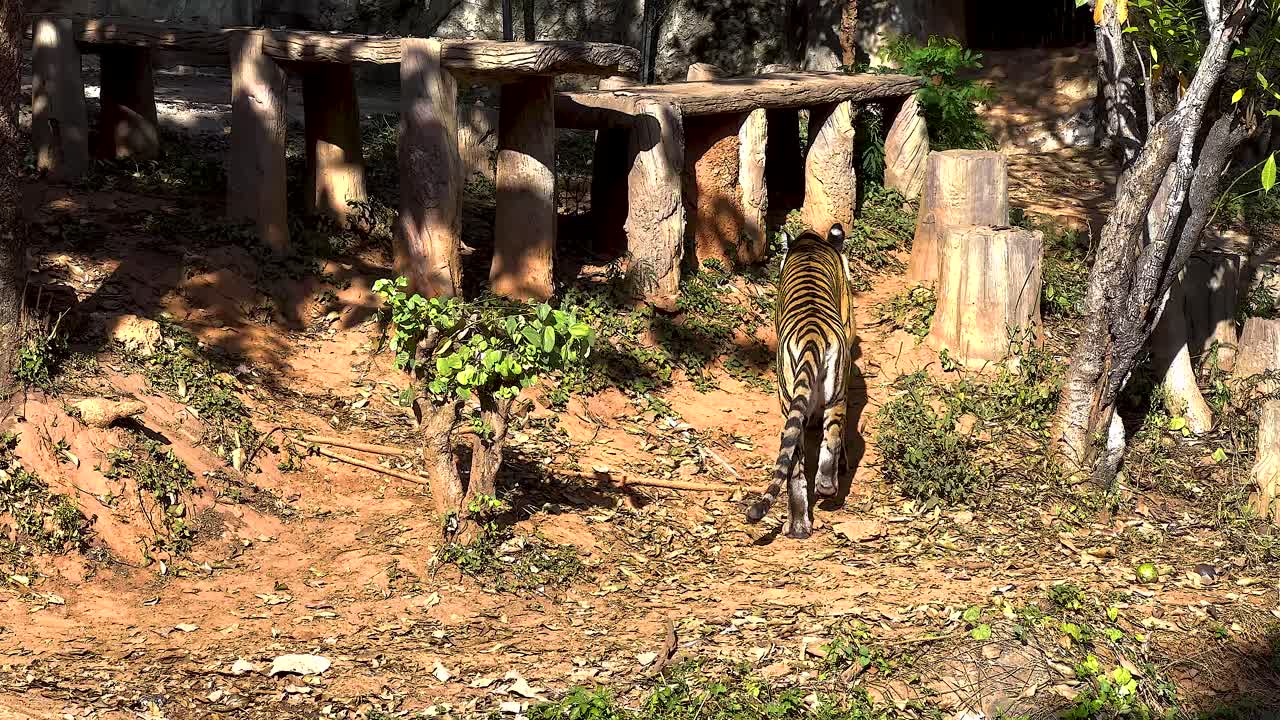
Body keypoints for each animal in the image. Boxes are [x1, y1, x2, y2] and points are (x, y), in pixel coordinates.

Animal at [746, 223, 857, 539]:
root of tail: (810, 335)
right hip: (836, 394)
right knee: (831, 438)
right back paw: (825, 488)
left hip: (789, 396)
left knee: (794, 463)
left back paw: (797, 525)